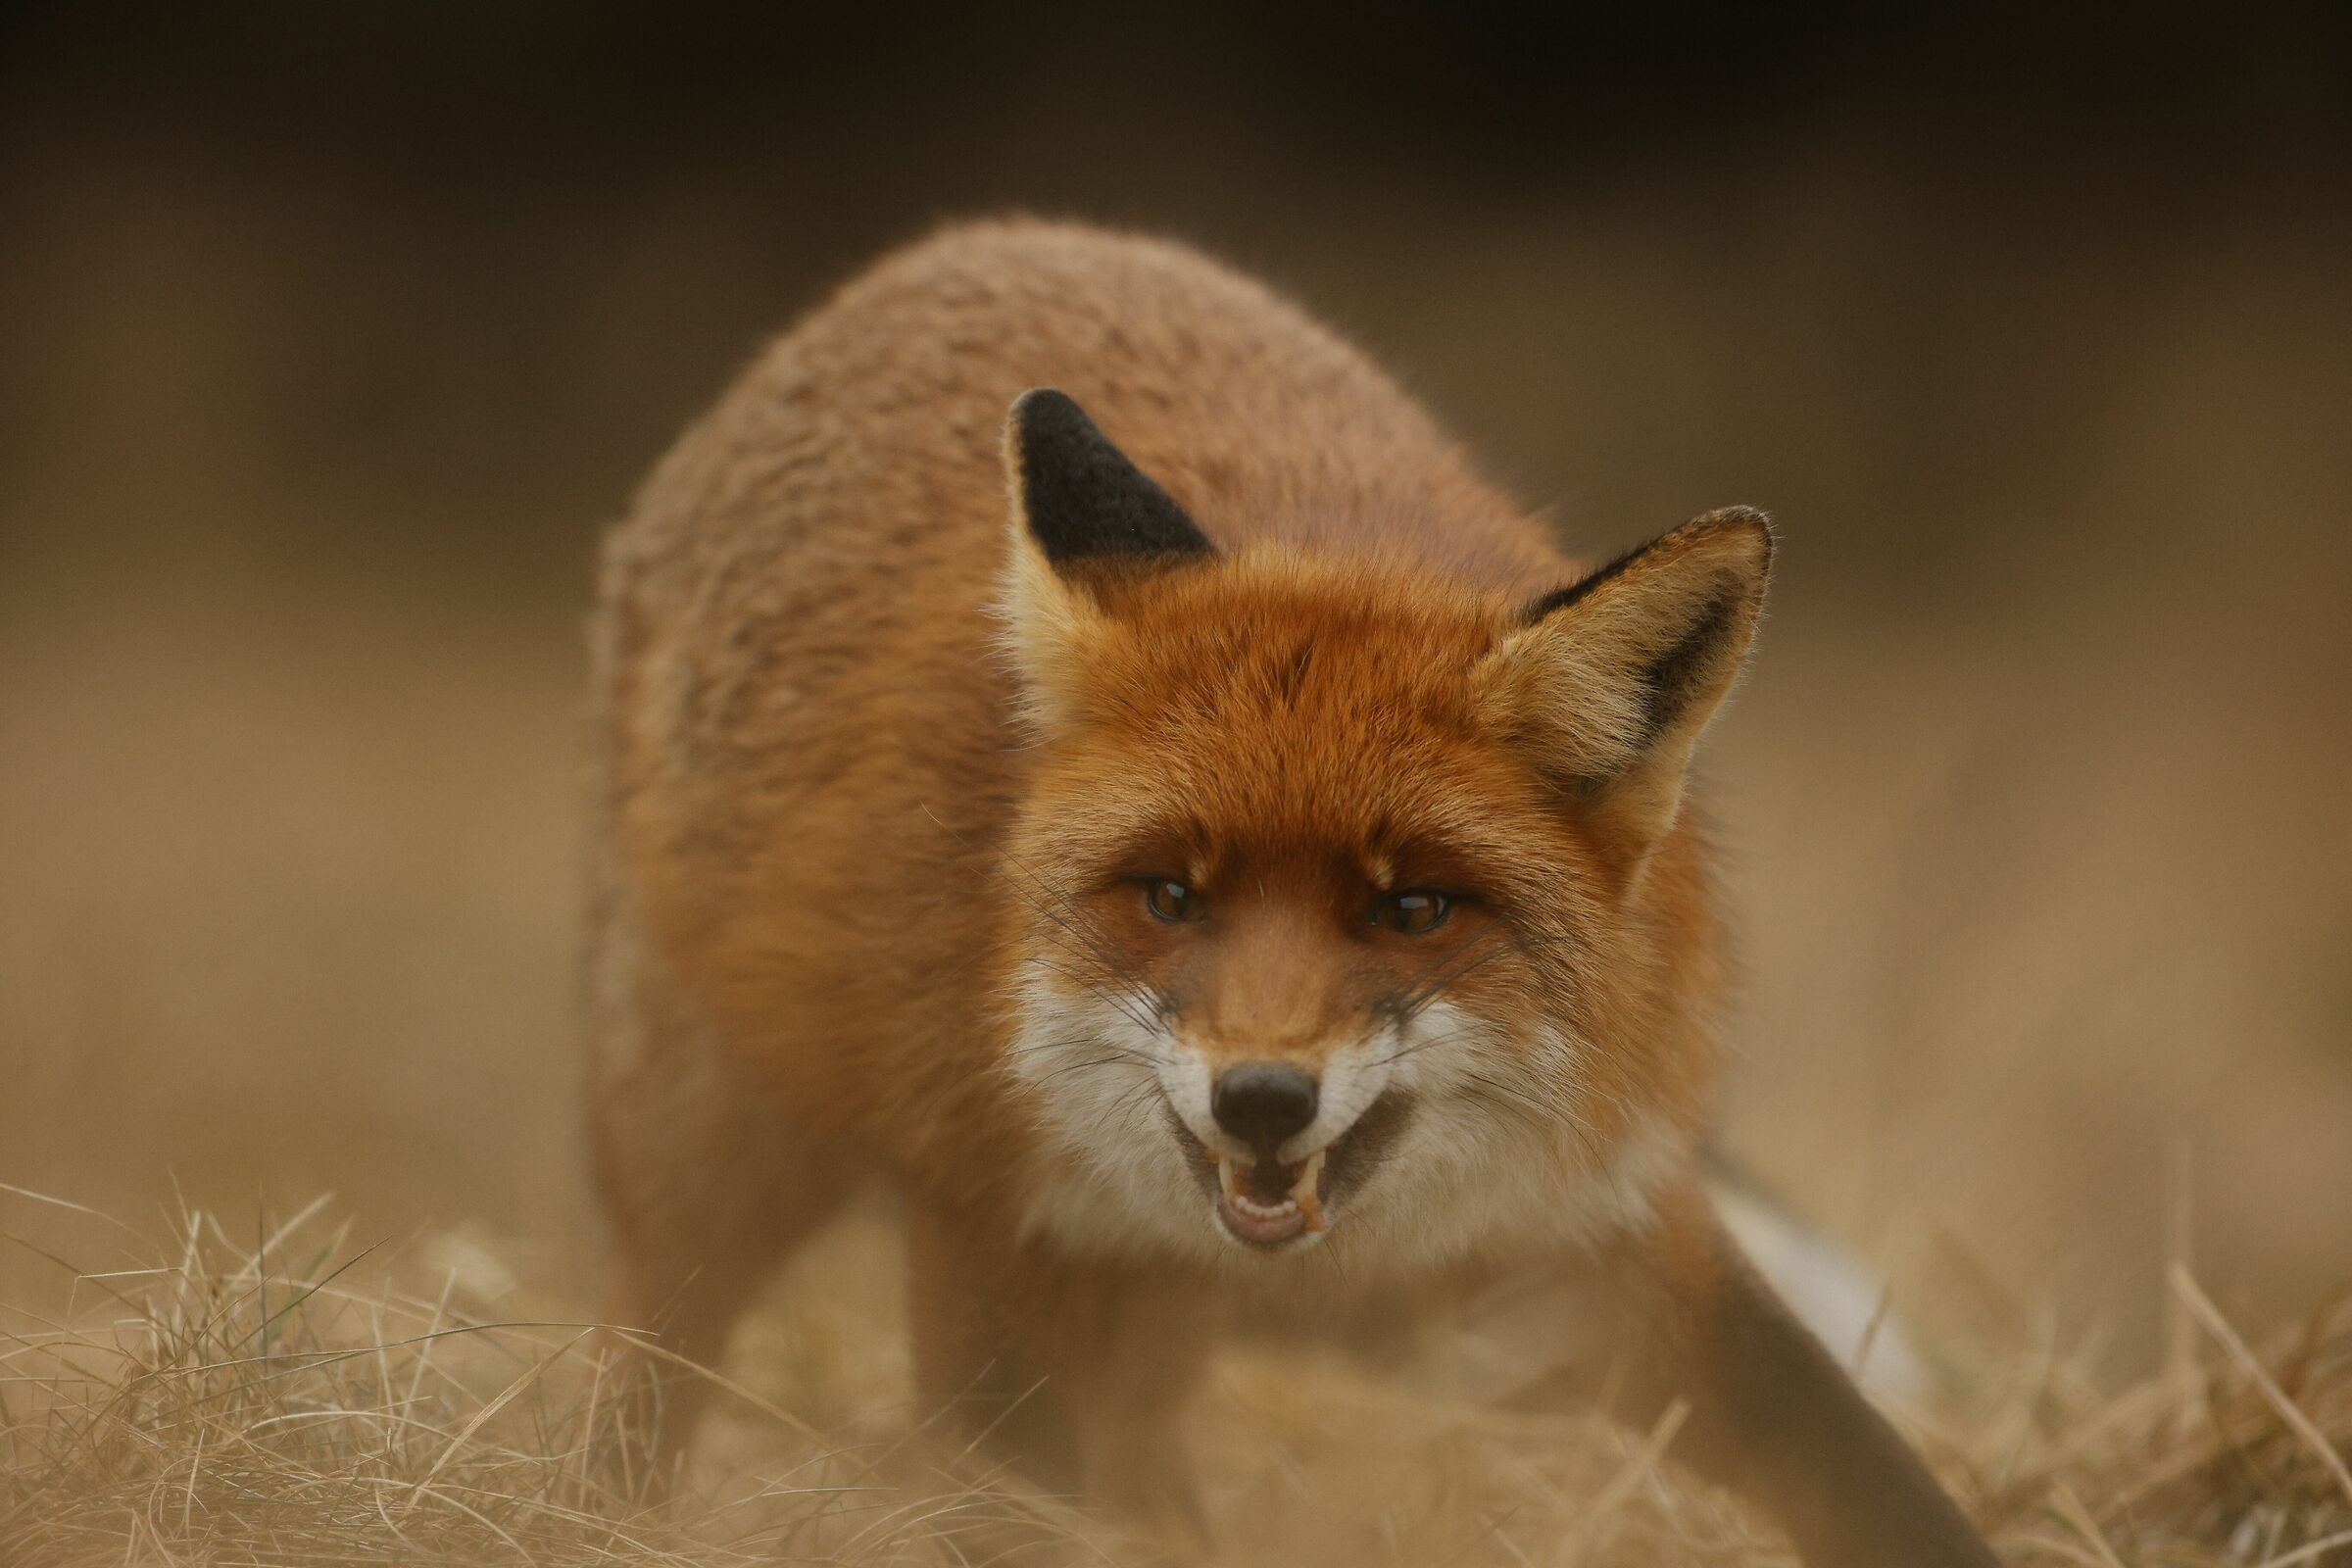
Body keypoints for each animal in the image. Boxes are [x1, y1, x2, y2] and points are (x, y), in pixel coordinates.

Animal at [587, 218, 1999, 1568]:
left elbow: (1872, 1479)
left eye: (1414, 908)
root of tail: (961, 243)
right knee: (647, 1351)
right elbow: (1008, 1509)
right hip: (706, 1138)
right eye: (1168, 896)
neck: (1309, 1265)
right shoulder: (997, 1240)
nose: (1260, 1099)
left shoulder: (1593, 1246)